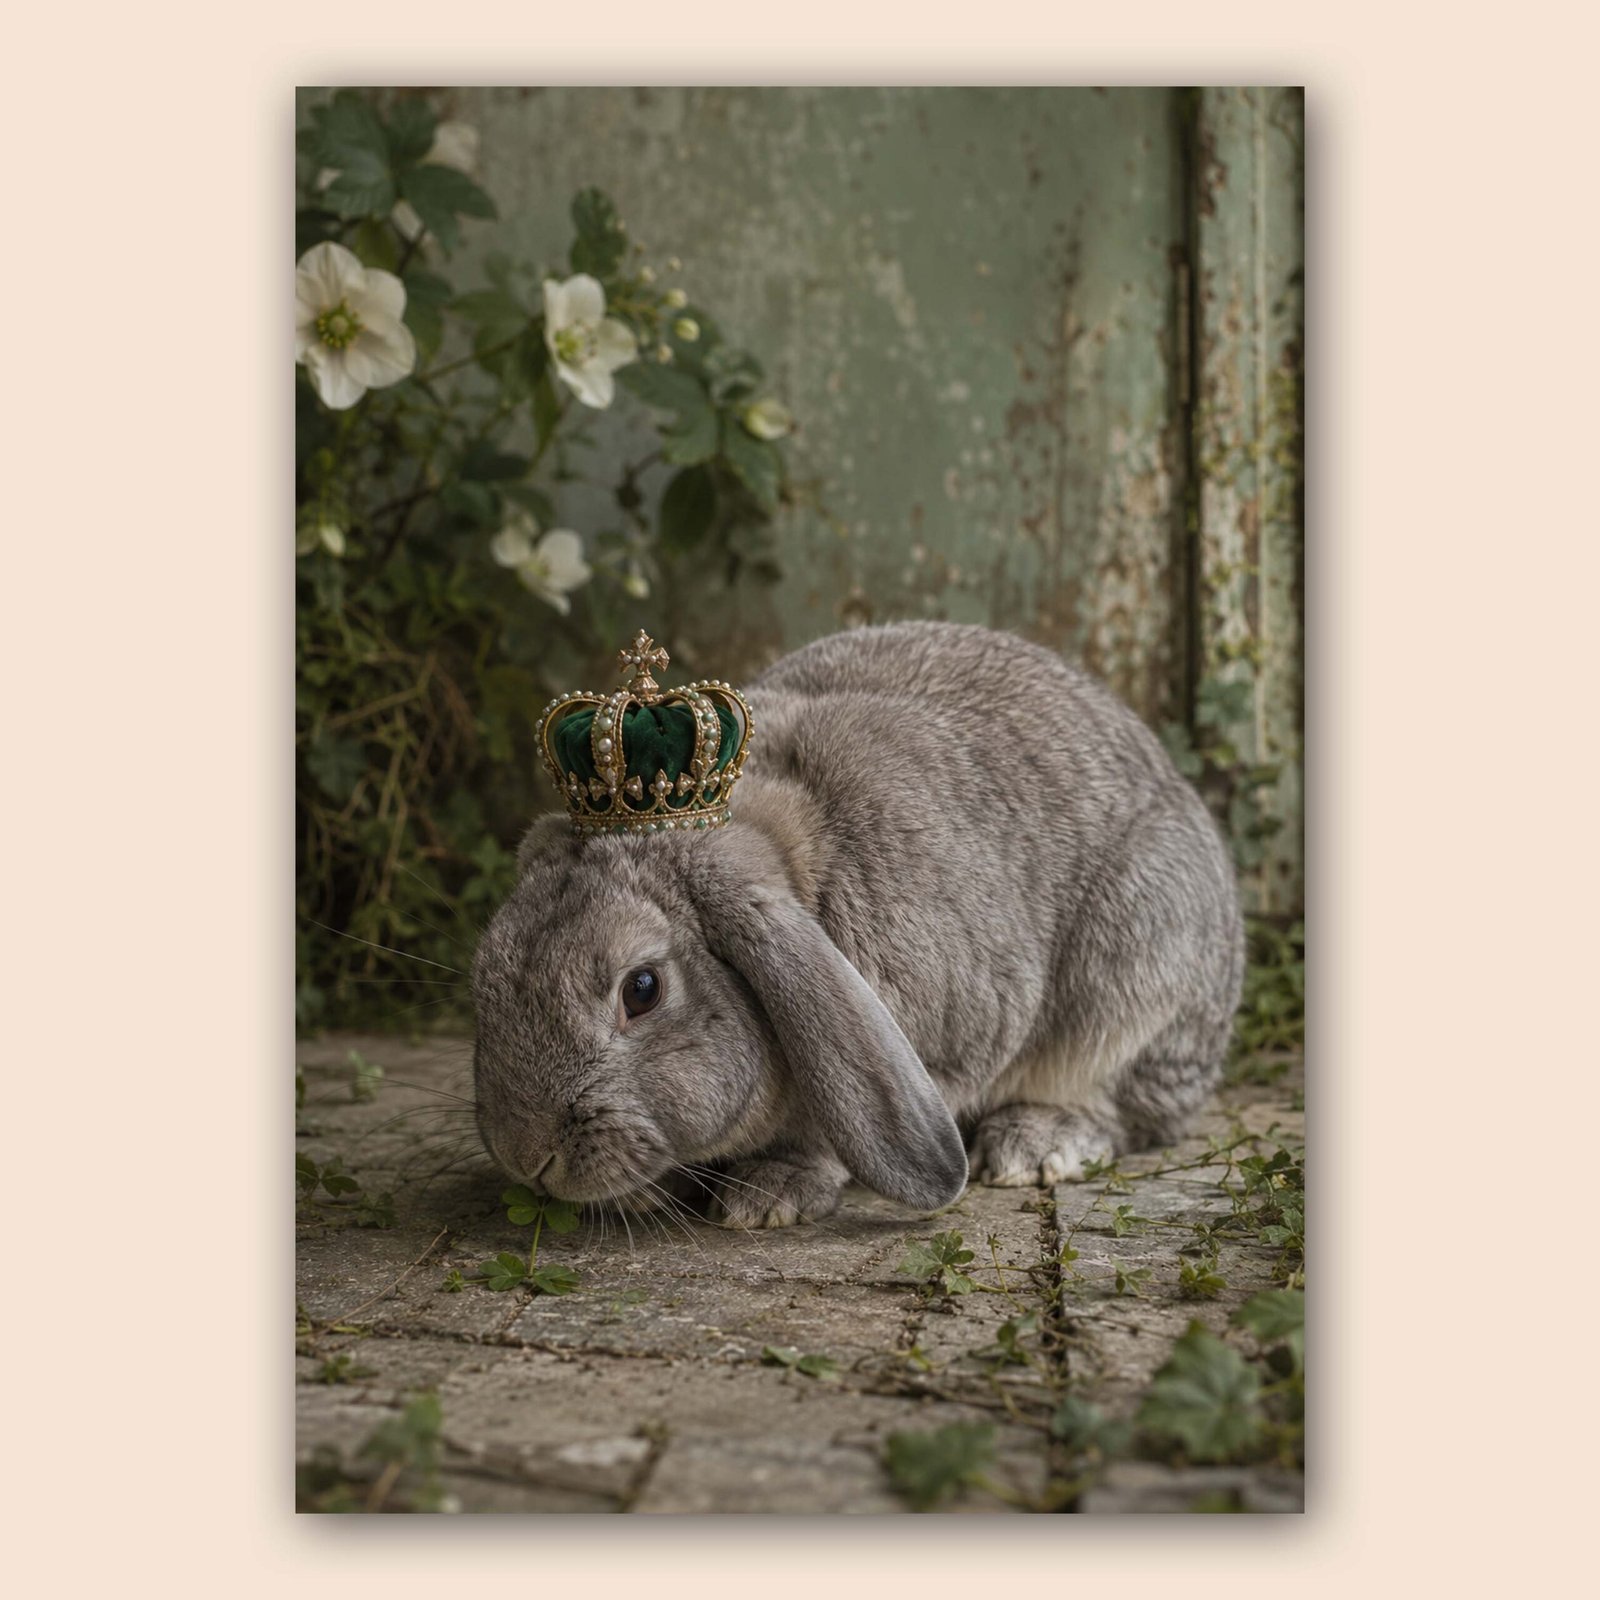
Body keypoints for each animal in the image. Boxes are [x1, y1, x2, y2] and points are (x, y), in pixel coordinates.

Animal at [471, 620, 1244, 1229]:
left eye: (641, 990)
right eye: (487, 968)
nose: (524, 1155)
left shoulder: (949, 1043)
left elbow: (833, 1126)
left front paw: (767, 1196)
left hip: (1137, 978)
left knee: (1127, 1106)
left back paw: (1034, 1144)